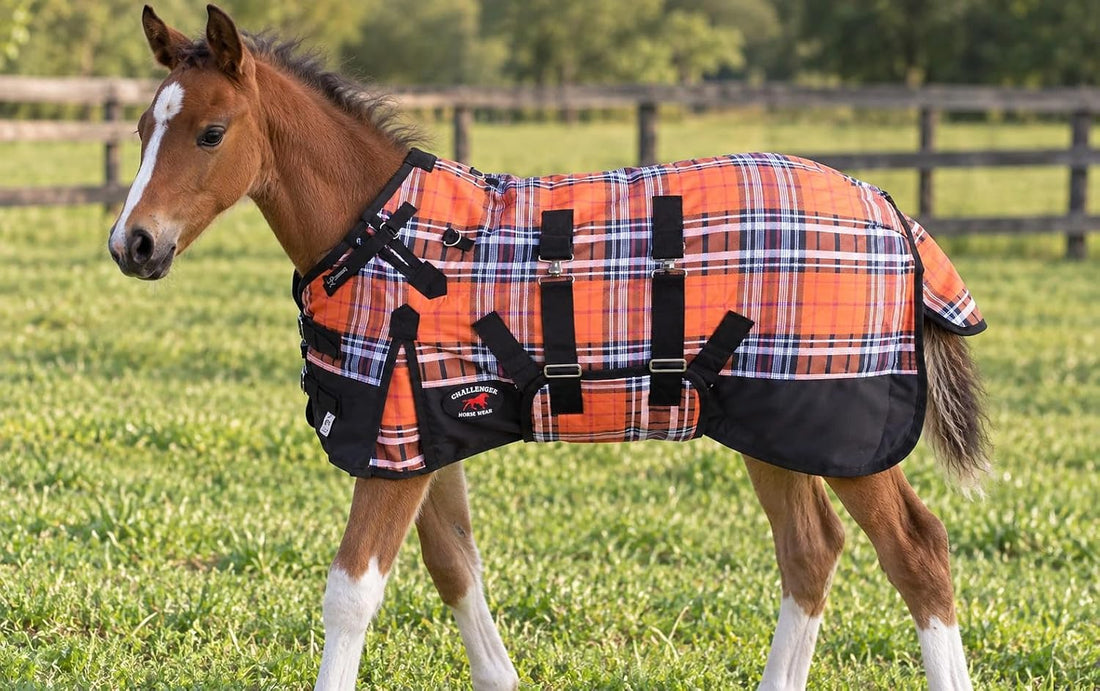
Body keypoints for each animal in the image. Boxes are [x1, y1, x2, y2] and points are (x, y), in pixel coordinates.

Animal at [108, 6, 991, 690]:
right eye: (143, 127)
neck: (383, 235)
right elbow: (455, 566)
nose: (133, 244)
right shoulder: (426, 440)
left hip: (846, 431)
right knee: (811, 552)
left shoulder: (391, 448)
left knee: (918, 551)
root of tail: (890, 208)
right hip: (773, 425)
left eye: (211, 132)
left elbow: (352, 591)